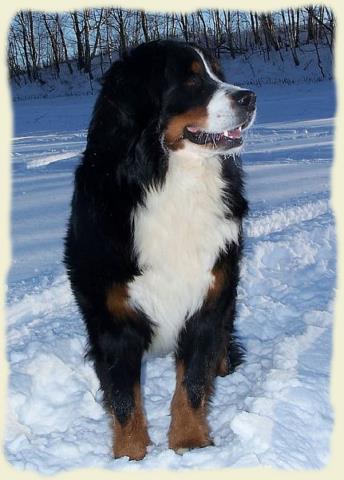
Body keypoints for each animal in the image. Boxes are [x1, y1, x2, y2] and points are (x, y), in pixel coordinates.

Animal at [63, 39, 255, 460]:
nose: (249, 97)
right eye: (191, 80)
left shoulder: (208, 298)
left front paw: (189, 441)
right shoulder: (113, 316)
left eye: (217, 72)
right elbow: (123, 396)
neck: (169, 180)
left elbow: (193, 382)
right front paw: (130, 454)